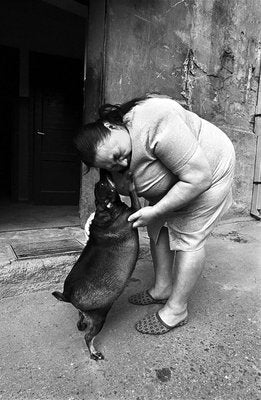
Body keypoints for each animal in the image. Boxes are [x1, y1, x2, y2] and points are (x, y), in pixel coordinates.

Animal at [51, 170, 140, 360]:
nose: (103, 171)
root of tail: (67, 295)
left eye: (99, 185)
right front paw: (130, 179)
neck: (104, 210)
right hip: (99, 317)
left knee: (80, 318)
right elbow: (132, 192)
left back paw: (81, 324)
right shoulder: (135, 211)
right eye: (104, 185)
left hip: (89, 314)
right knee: (88, 337)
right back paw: (94, 353)